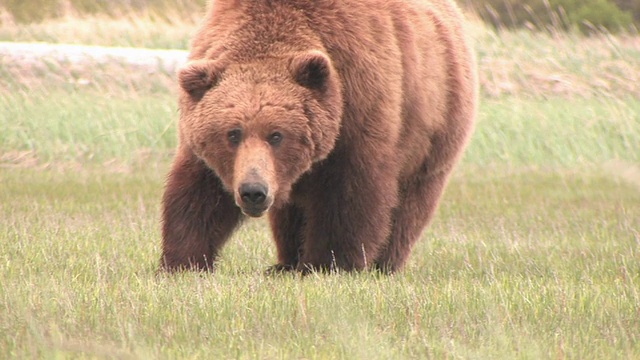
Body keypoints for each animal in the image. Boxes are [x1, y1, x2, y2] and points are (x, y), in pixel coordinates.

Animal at [162, 0, 478, 272]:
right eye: (232, 134)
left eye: (277, 135)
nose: (254, 191)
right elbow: (197, 193)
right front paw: (182, 262)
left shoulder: (357, 106)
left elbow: (350, 196)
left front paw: (328, 264)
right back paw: (284, 264)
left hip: (432, 130)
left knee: (410, 205)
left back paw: (383, 264)